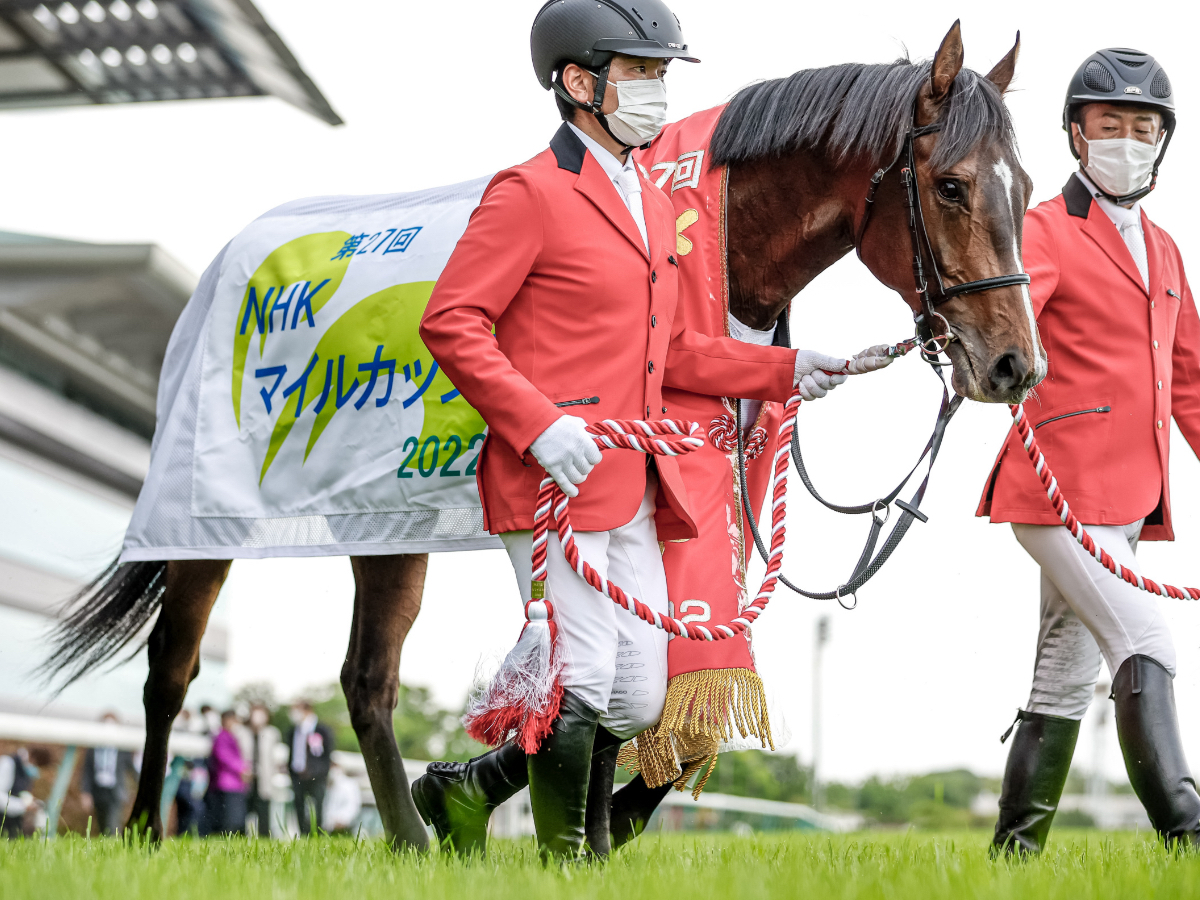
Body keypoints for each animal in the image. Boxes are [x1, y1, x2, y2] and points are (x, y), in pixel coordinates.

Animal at [42, 22, 1041, 854]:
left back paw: (412, 834)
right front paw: (546, 815)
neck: (702, 235)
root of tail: (226, 263)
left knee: (367, 680)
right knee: (174, 669)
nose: (1014, 366)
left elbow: (656, 694)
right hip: (204, 523)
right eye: (951, 185)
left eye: (1026, 189)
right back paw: (148, 828)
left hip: (388, 526)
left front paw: (581, 825)